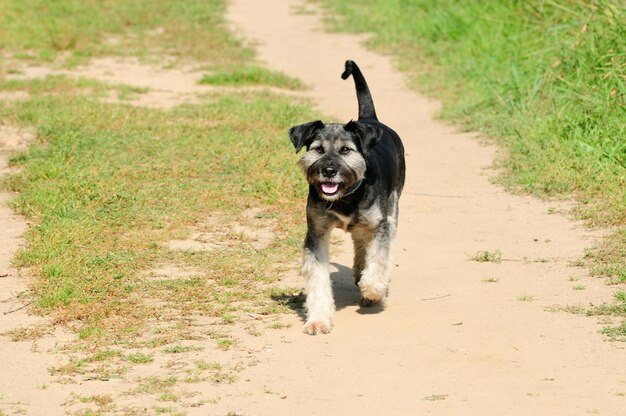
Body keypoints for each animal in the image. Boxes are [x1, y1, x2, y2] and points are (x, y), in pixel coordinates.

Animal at [288, 59, 404, 334]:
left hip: (392, 208)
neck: (346, 196)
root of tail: (370, 119)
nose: (329, 170)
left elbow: (379, 258)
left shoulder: (379, 225)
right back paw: (359, 270)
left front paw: (373, 289)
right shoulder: (316, 234)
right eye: (318, 149)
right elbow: (318, 279)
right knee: (360, 242)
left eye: (346, 150)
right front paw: (318, 319)